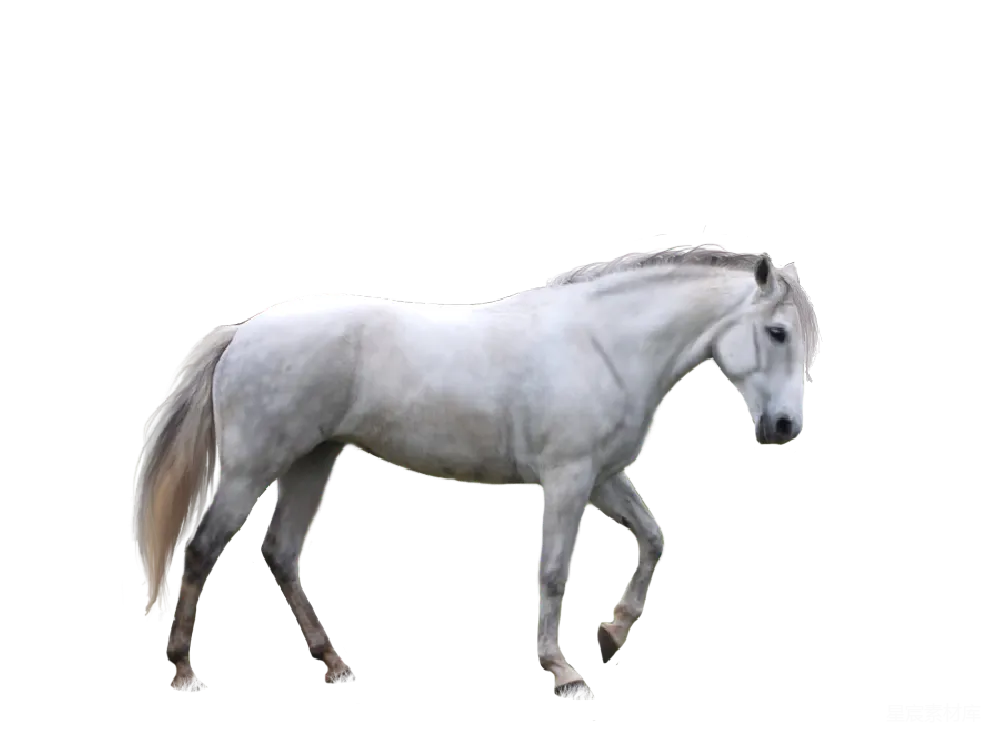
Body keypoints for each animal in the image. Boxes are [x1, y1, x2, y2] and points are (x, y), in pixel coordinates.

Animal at [132, 245, 818, 697]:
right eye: (776, 331)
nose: (785, 427)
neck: (605, 344)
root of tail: (247, 329)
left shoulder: (602, 477)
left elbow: (654, 542)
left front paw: (613, 636)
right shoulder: (568, 480)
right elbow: (553, 572)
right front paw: (562, 669)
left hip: (310, 460)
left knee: (276, 552)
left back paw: (335, 663)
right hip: (253, 469)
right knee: (199, 553)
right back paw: (185, 670)